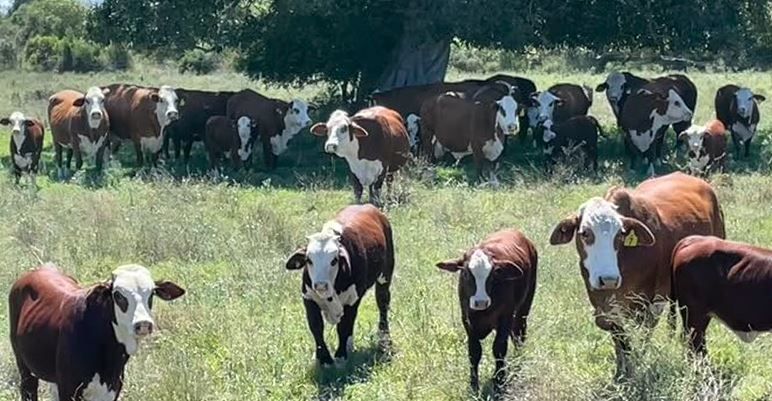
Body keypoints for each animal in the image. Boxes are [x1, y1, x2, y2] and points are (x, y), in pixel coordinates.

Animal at [9, 264, 185, 401]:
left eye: (151, 293)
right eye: (118, 295)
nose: (143, 324)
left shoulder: (112, 388)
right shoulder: (69, 388)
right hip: (25, 368)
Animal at [285, 205, 394, 367]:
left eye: (334, 260)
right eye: (309, 260)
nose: (321, 285)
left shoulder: (352, 300)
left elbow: (344, 327)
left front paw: (340, 355)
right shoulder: (309, 298)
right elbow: (316, 327)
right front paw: (324, 358)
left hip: (385, 276)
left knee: (382, 303)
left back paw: (383, 337)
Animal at [436, 229, 537, 393]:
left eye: (494, 274)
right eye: (465, 273)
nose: (480, 301)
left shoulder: (505, 317)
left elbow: (499, 349)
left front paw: (499, 380)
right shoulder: (467, 319)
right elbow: (474, 352)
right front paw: (474, 385)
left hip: (524, 306)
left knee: (519, 334)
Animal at [549, 172, 725, 378]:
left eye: (620, 234)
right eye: (585, 233)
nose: (608, 279)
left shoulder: (649, 302)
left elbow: (642, 336)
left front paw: (639, 364)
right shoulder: (604, 306)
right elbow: (620, 340)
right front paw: (622, 371)